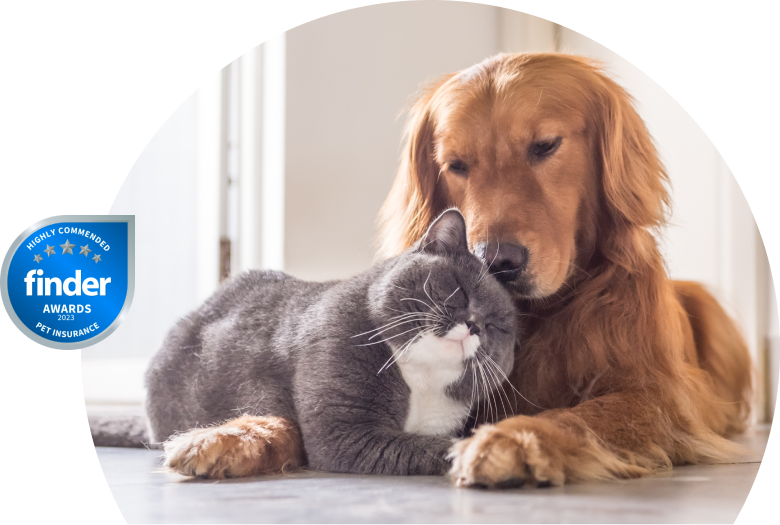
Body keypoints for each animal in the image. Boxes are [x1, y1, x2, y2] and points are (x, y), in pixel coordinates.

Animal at [146, 208, 516, 474]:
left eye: (497, 326)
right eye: (459, 289)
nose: (475, 326)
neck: (421, 378)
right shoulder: (346, 432)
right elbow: (429, 446)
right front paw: (484, 452)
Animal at [378, 53, 756, 488]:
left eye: (545, 146)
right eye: (455, 165)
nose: (496, 261)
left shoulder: (658, 397)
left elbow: (582, 416)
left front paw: (515, 439)